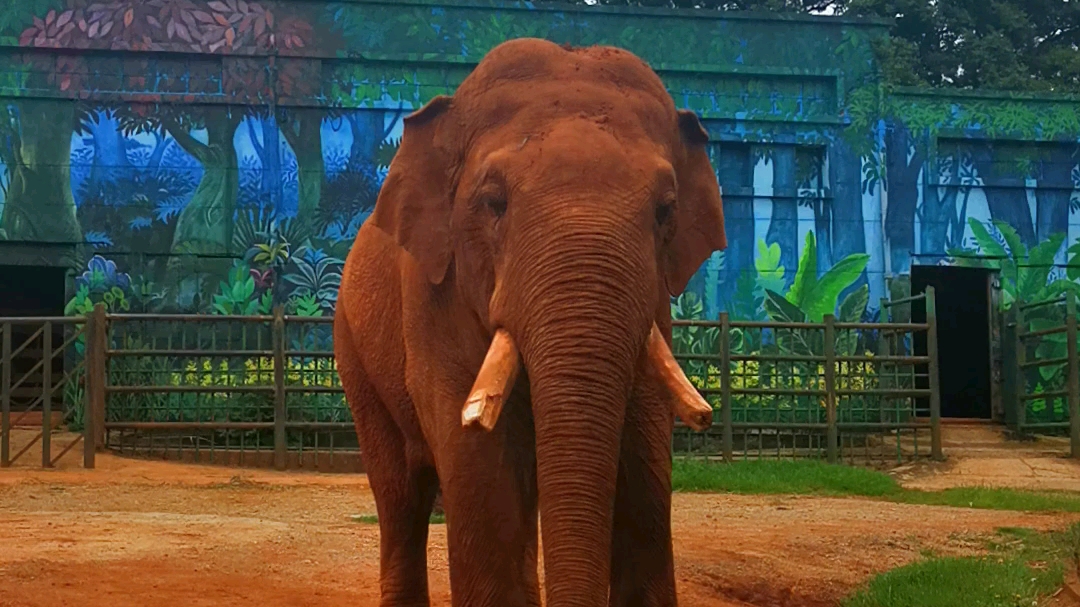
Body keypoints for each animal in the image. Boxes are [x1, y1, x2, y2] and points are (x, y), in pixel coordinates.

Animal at [333, 37, 727, 607]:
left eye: (665, 211)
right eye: (493, 203)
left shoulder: (658, 302)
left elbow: (645, 460)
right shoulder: (435, 295)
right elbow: (481, 463)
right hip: (353, 352)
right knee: (400, 493)